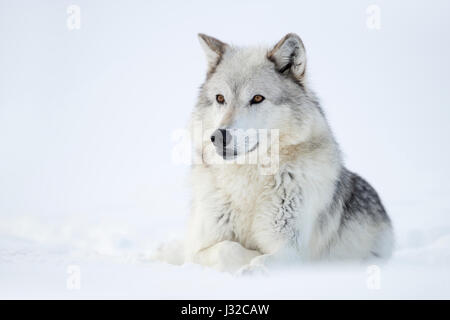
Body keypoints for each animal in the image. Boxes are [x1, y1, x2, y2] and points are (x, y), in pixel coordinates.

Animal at [156, 33, 394, 272]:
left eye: (257, 98)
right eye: (220, 98)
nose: (219, 136)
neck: (247, 182)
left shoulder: (292, 251)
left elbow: (261, 258)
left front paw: (252, 266)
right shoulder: (202, 246)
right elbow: (225, 249)